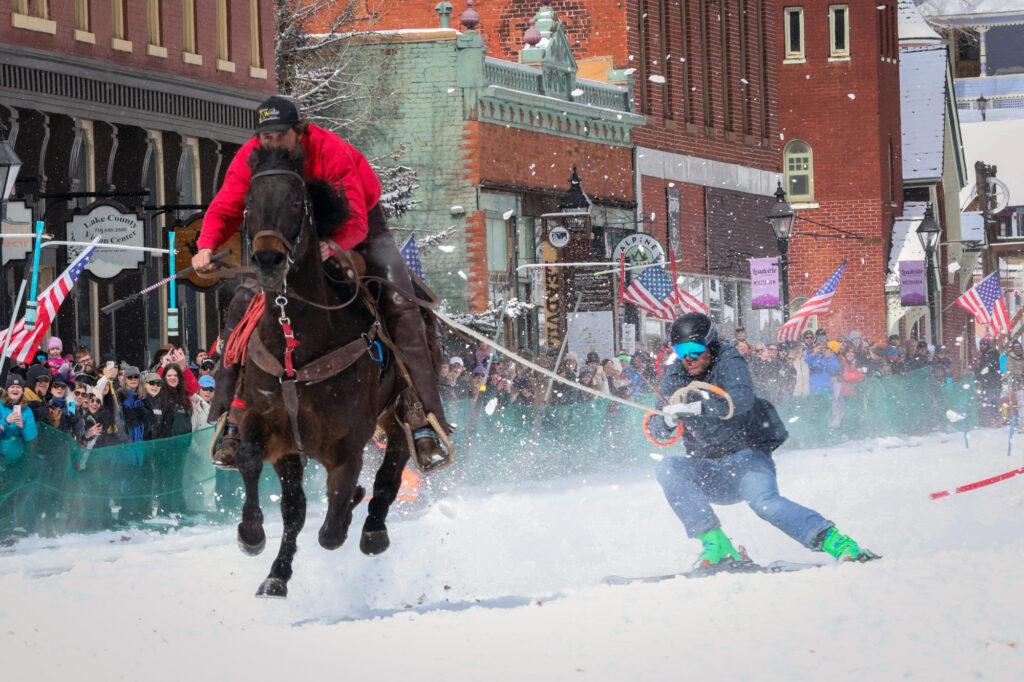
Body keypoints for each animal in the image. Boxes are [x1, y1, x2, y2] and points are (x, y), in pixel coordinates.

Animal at [235, 144, 415, 593]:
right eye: (249, 202)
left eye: (297, 202)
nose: (268, 258)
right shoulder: (268, 424)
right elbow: (257, 468)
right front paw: (252, 534)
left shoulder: (349, 440)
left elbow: (332, 528)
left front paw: (352, 511)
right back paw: (278, 573)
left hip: (399, 411)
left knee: (393, 464)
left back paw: (373, 529)